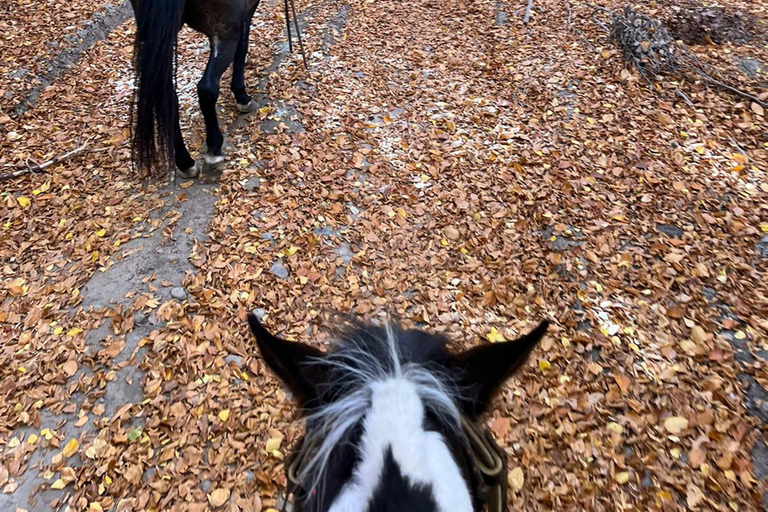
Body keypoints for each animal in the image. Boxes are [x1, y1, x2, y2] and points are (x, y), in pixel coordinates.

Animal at [131, 0, 260, 179]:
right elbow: (242, 46)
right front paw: (242, 97)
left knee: (167, 98)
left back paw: (186, 163)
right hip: (226, 31)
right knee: (207, 88)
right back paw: (213, 153)